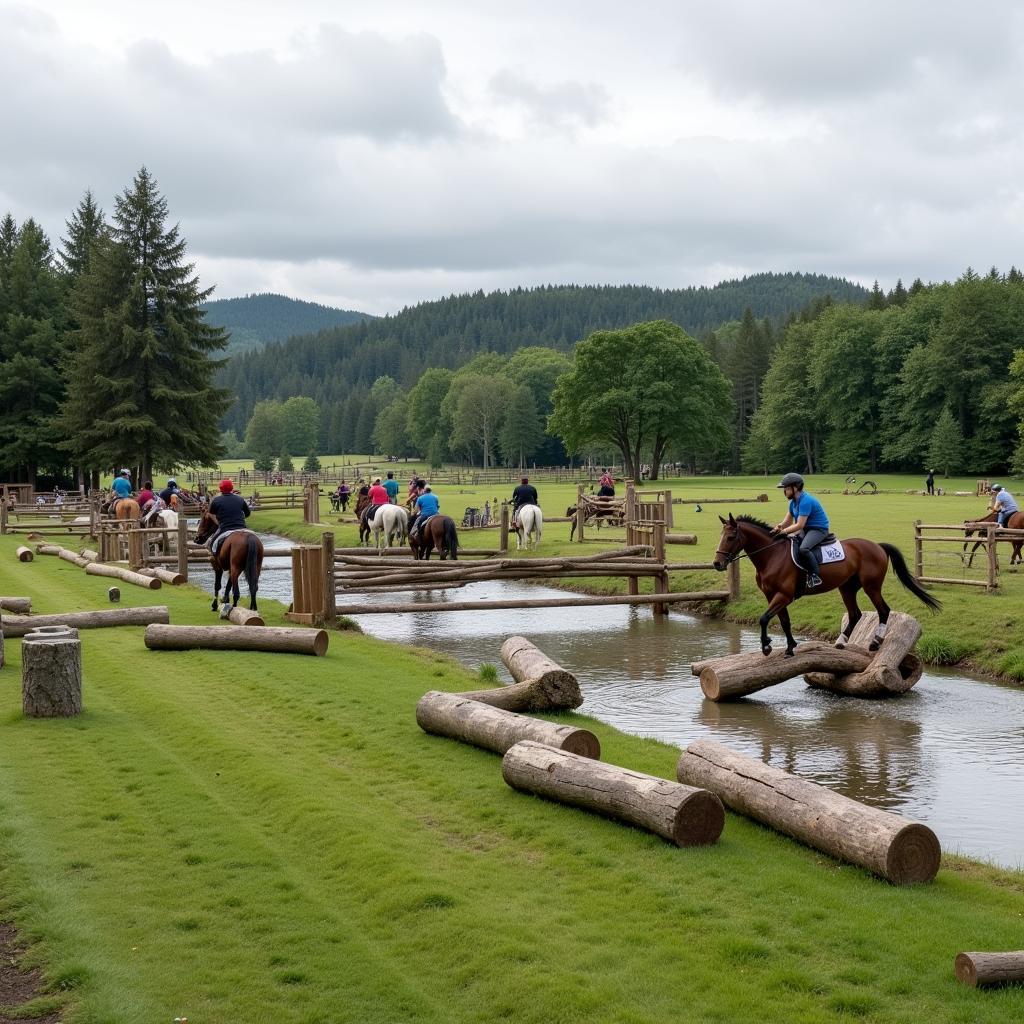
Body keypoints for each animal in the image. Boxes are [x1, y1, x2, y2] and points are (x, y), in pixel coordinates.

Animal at [712, 516, 942, 659]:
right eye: (721, 536)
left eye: (730, 537)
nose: (717, 564)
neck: (771, 555)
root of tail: (877, 545)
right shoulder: (773, 596)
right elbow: (784, 622)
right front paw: (790, 647)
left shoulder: (783, 595)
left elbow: (764, 618)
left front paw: (767, 646)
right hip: (846, 588)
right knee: (855, 614)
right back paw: (841, 641)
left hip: (871, 586)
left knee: (883, 610)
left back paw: (876, 642)